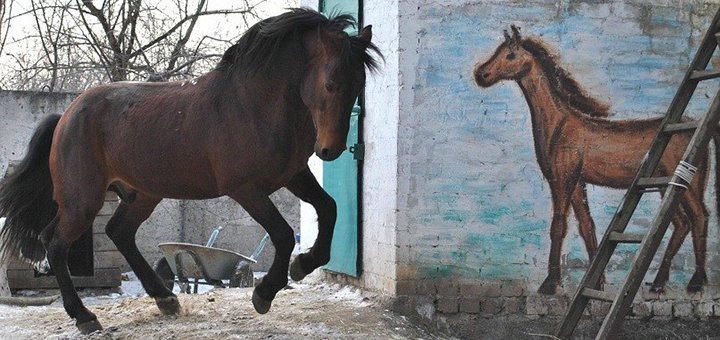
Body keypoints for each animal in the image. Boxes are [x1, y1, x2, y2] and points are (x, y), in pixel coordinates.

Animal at [0, 9, 382, 334]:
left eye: (359, 84)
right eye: (331, 84)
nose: (329, 150)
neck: (255, 104)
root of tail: (66, 116)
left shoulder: (293, 175)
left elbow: (329, 209)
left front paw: (303, 265)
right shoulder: (246, 189)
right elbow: (284, 235)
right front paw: (264, 294)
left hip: (142, 194)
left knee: (118, 231)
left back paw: (166, 300)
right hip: (83, 200)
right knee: (55, 243)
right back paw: (85, 317)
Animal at [472, 27, 716, 294]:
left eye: (511, 54)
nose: (481, 74)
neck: (559, 125)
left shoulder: (561, 180)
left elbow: (559, 225)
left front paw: (551, 283)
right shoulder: (578, 183)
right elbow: (587, 226)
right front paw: (596, 282)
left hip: (688, 185)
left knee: (699, 217)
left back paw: (696, 281)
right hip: (668, 188)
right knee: (681, 223)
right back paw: (659, 282)